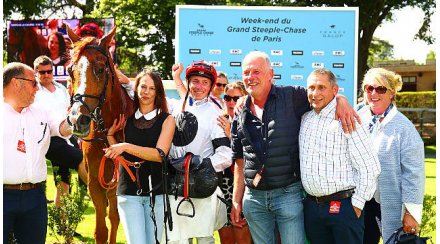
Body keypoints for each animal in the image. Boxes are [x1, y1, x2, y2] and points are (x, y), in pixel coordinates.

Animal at [66, 25, 133, 243]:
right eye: (70, 70)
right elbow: (101, 230)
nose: (77, 119)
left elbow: (114, 218)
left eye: (101, 69)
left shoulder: (117, 184)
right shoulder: (95, 182)